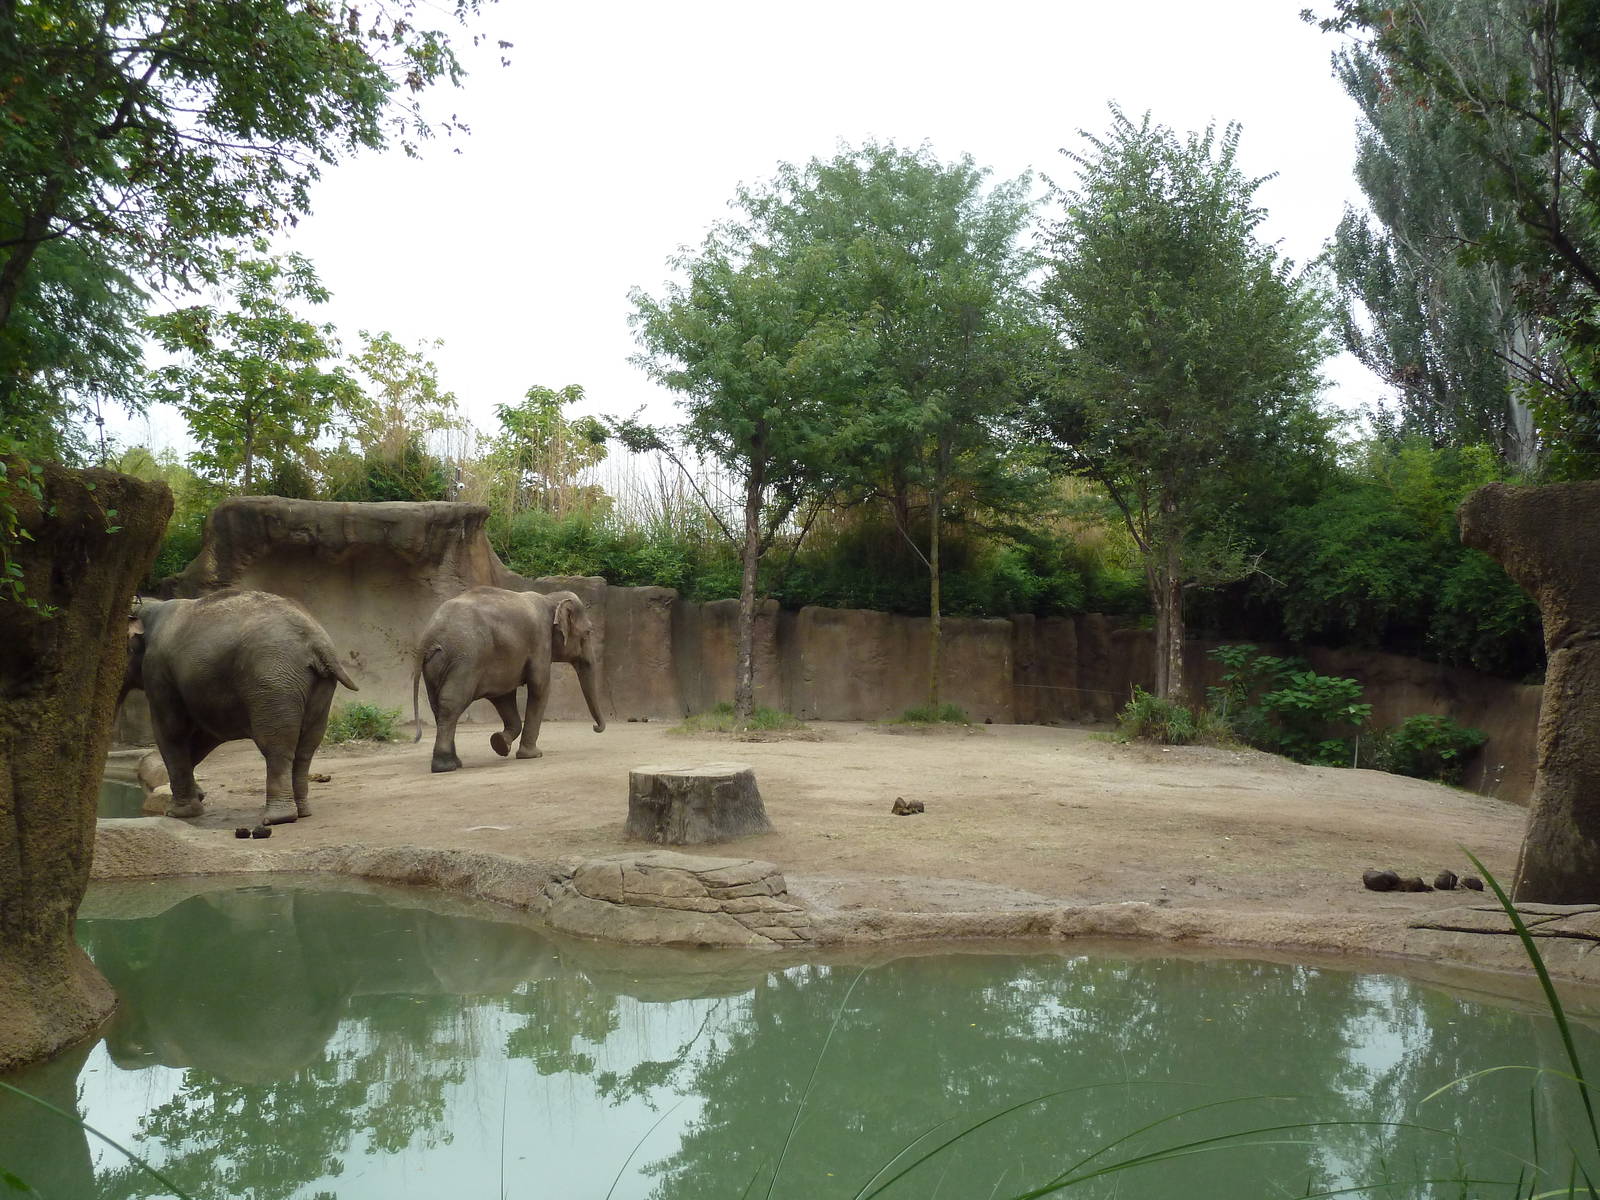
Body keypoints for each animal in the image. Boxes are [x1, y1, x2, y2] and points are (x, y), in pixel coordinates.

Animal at [120, 589, 359, 825]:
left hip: (273, 681)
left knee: (275, 745)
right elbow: (207, 735)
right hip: (317, 685)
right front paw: (198, 796)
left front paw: (178, 813)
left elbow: (172, 730)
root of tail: (318, 643)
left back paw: (277, 818)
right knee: (306, 747)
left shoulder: (157, 671)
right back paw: (302, 812)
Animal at [411, 586, 606, 773]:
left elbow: (503, 696)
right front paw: (532, 755)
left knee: (438, 706)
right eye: (589, 632)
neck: (549, 598)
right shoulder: (540, 640)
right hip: (466, 659)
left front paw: (500, 743)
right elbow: (540, 687)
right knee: (452, 703)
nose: (595, 728)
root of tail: (428, 637)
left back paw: (455, 763)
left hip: (435, 666)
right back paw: (445, 766)